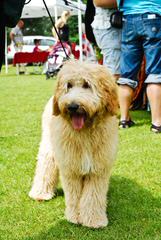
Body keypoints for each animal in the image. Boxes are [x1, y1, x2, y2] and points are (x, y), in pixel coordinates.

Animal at [29, 60, 118, 229]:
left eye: (87, 85)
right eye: (68, 85)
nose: (72, 106)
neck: (85, 132)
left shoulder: (98, 169)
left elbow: (93, 195)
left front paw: (94, 220)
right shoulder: (71, 167)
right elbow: (74, 195)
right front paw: (74, 217)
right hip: (49, 147)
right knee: (45, 167)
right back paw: (40, 193)